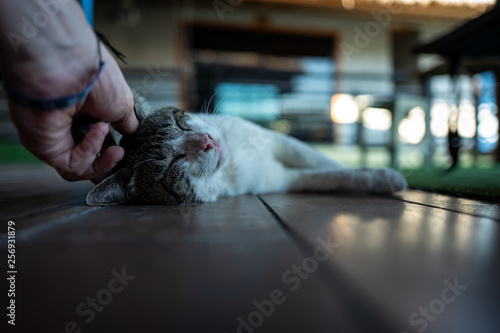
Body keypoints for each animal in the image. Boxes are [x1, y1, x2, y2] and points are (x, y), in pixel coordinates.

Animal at [85, 92, 406, 204]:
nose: (206, 141)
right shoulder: (281, 180)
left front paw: (387, 175)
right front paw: (381, 178)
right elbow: (331, 176)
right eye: (171, 163)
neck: (234, 163)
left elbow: (328, 163)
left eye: (180, 122)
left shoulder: (281, 141)